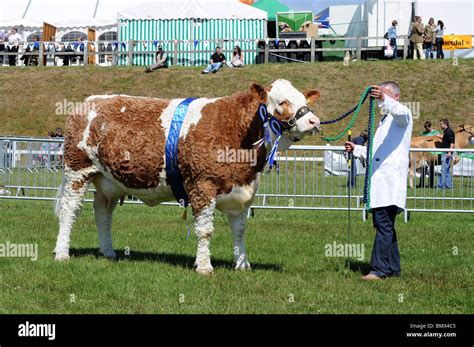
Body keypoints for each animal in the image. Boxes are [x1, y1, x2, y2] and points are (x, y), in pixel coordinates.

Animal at [54, 80, 322, 276]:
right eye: (282, 101)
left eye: (303, 99)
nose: (314, 121)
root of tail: (89, 101)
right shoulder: (202, 185)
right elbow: (205, 230)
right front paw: (204, 267)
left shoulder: (241, 192)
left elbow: (240, 230)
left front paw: (242, 264)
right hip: (78, 169)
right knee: (69, 210)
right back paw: (62, 253)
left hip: (107, 181)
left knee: (103, 213)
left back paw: (108, 252)